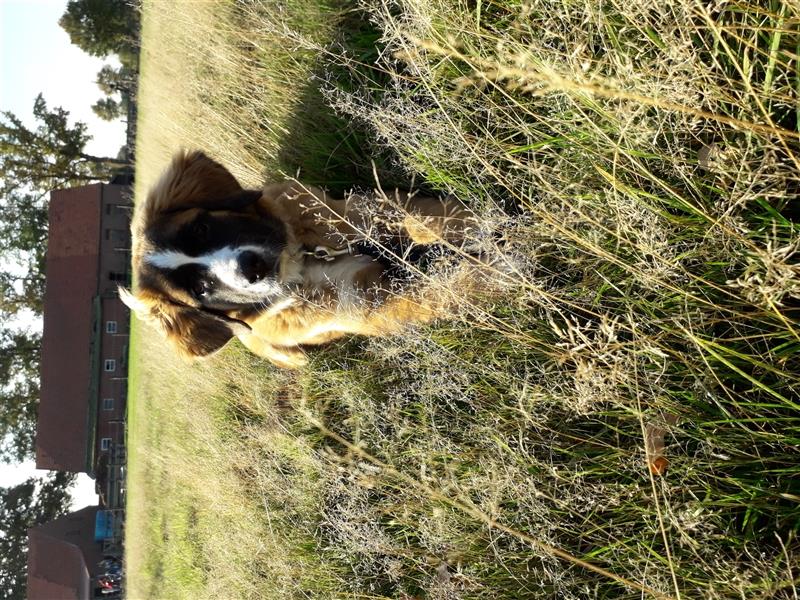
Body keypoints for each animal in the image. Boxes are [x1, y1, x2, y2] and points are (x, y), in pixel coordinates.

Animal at [119, 149, 478, 366]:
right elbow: (442, 290)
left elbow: (420, 220)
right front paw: (487, 271)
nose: (253, 269)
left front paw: (482, 223)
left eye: (201, 228)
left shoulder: (355, 213)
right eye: (200, 290)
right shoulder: (371, 305)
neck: (305, 260)